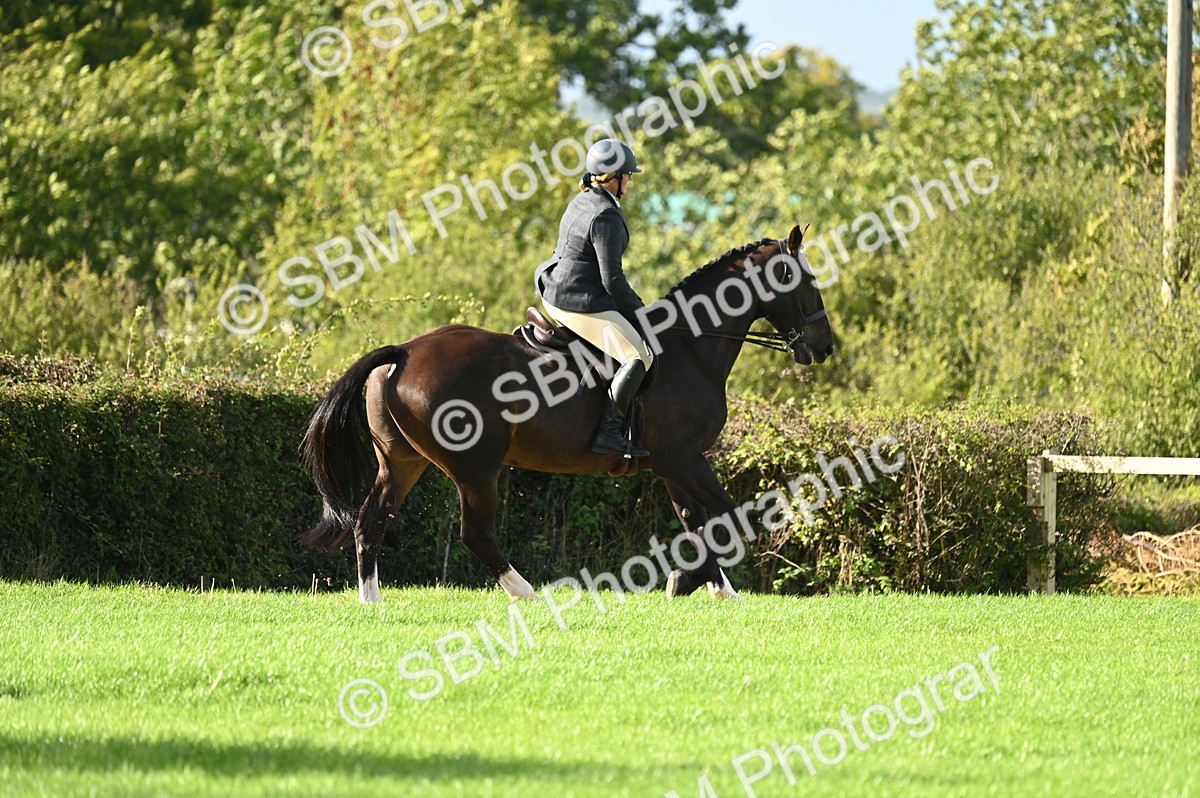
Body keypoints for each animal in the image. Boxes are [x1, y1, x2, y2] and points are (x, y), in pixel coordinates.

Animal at [300, 224, 835, 602]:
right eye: (805, 282)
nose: (824, 348)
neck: (691, 347)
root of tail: (406, 353)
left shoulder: (675, 466)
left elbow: (696, 521)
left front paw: (714, 587)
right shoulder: (682, 460)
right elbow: (726, 515)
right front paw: (686, 582)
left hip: (402, 462)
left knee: (371, 520)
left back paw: (372, 601)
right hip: (476, 467)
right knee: (475, 533)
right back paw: (527, 593)